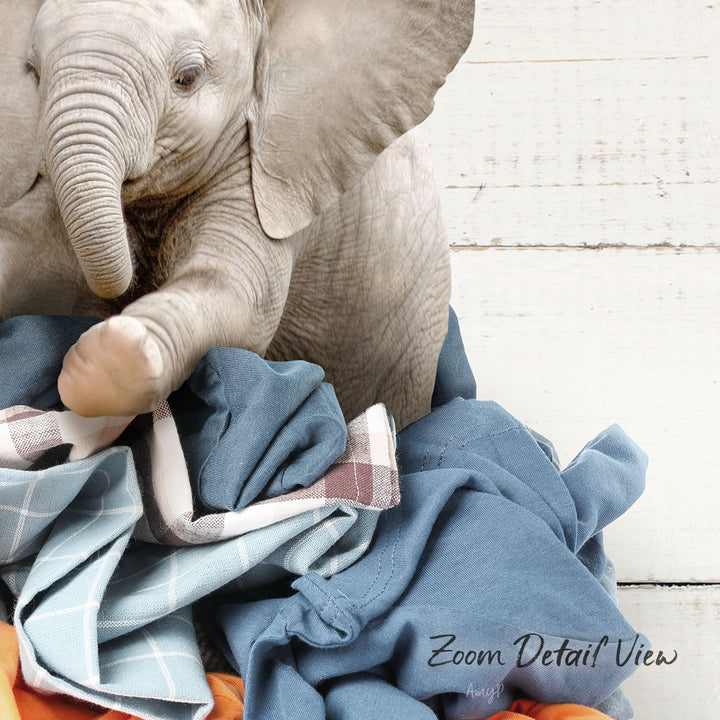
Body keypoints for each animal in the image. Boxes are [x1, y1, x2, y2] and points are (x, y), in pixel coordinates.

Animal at [0, 0, 474, 430]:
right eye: (33, 72)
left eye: (187, 78)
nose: (129, 285)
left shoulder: (275, 169)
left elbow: (239, 299)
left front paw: (107, 357)